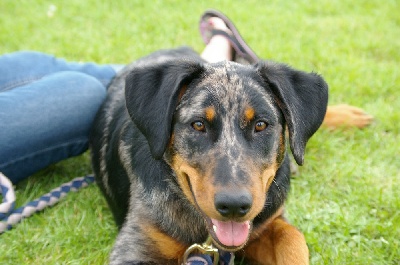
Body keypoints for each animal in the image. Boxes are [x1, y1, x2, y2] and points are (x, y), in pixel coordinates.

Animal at [90, 46, 328, 262]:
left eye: (260, 125)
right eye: (198, 125)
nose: (234, 206)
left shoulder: (269, 221)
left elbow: (293, 238)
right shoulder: (134, 248)